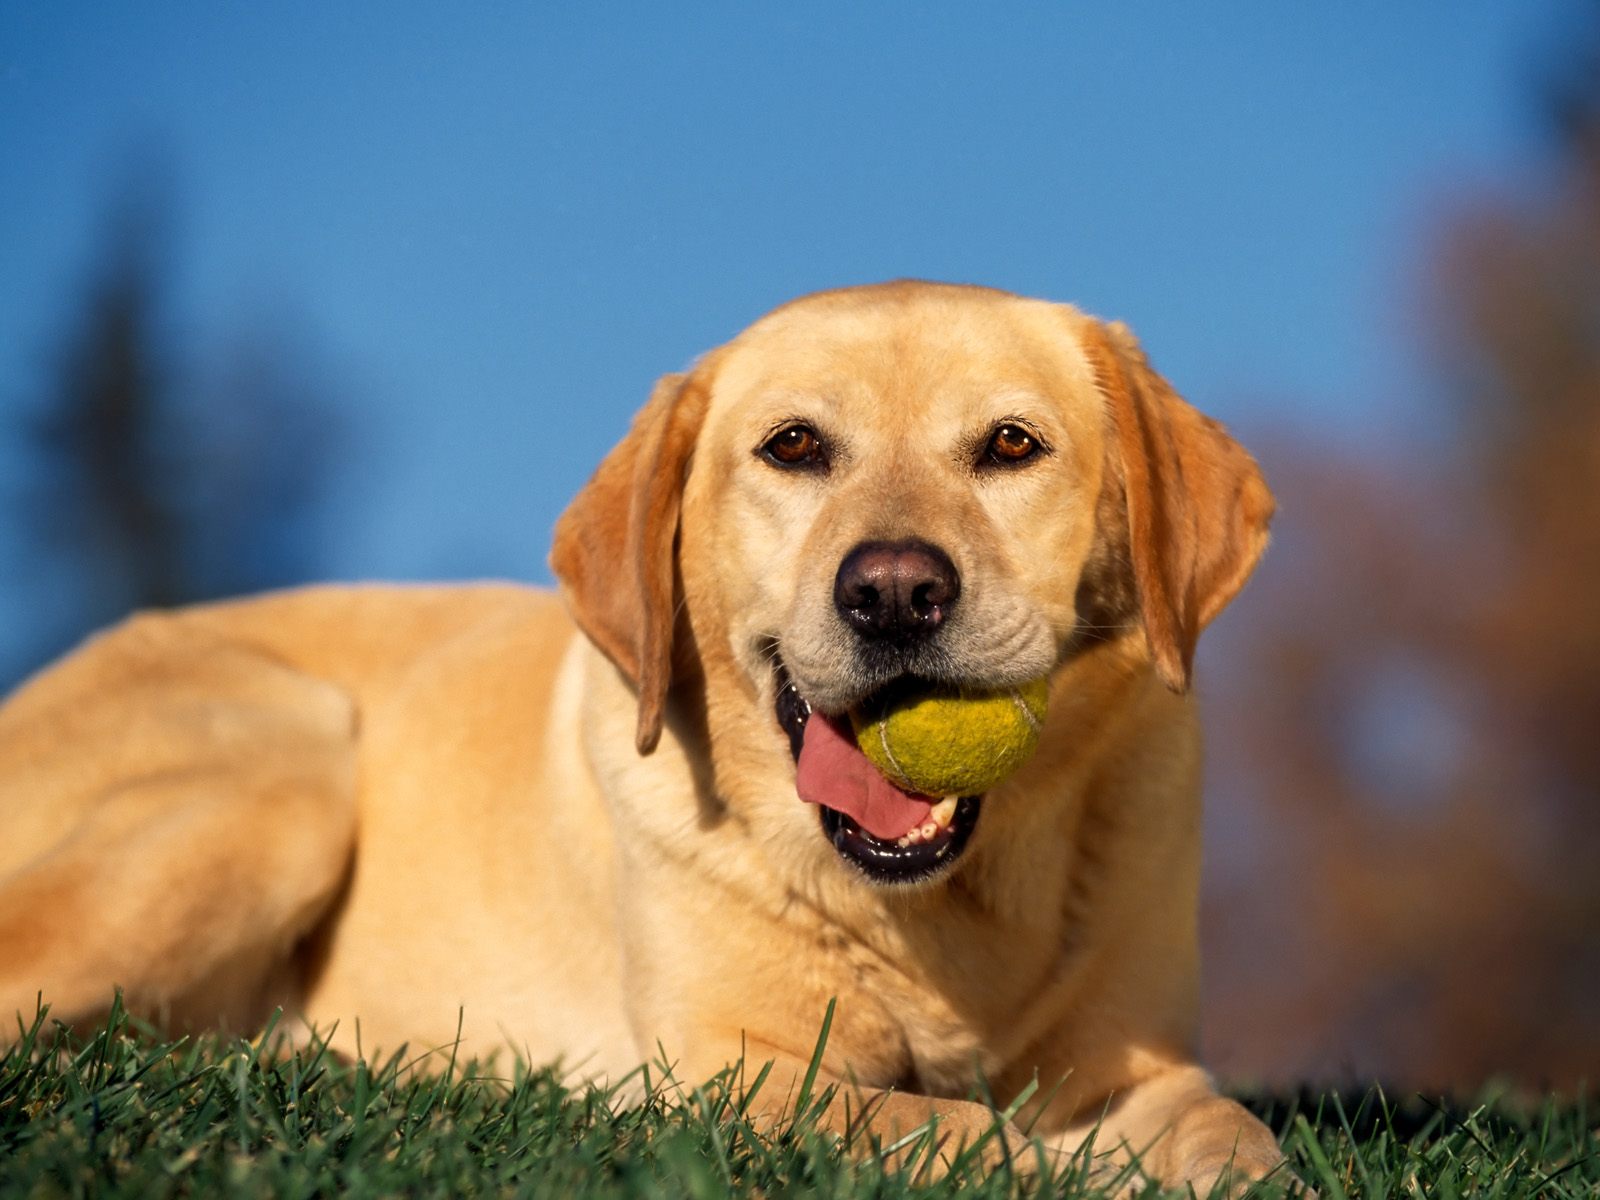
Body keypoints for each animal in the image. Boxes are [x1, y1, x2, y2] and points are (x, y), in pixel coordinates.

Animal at [0, 280, 1292, 1196]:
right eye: (794, 447)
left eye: (1012, 446)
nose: (892, 592)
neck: (943, 914)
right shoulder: (735, 1072)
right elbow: (939, 1126)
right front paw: (1052, 1164)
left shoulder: (1139, 1063)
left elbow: (1231, 1132)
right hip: (288, 772)